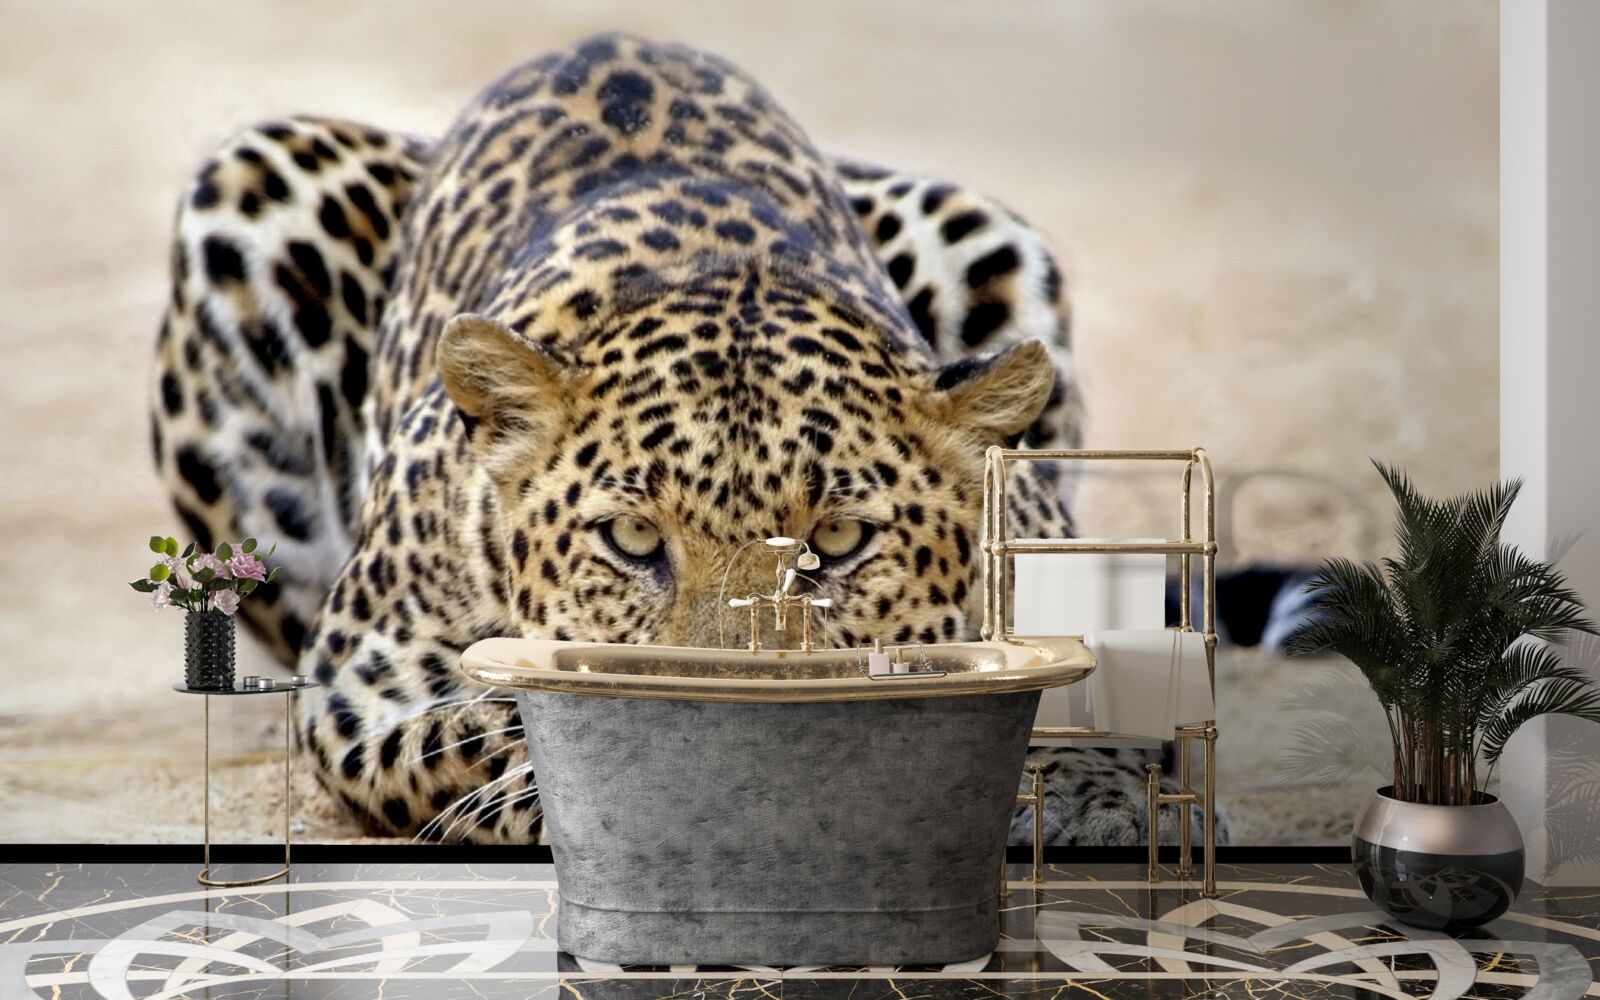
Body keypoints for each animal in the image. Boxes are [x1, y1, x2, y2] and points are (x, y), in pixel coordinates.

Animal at [150, 33, 1219, 847]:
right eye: (632, 542)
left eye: (836, 543)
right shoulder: (362, 681)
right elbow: (507, 718)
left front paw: (1091, 795)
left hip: (979, 226)